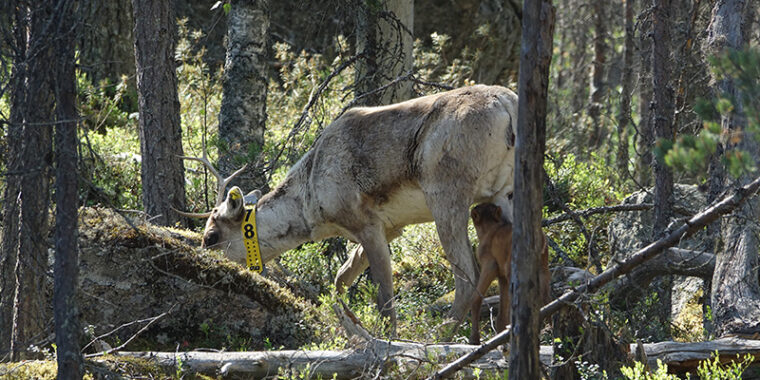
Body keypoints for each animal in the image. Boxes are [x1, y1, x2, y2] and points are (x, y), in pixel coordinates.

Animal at [466, 203, 548, 346]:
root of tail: (541, 241)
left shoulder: (490, 265)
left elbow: (475, 298)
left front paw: (474, 339)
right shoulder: (502, 276)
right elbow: (502, 313)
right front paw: (500, 337)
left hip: (513, 271)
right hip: (543, 269)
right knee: (546, 299)